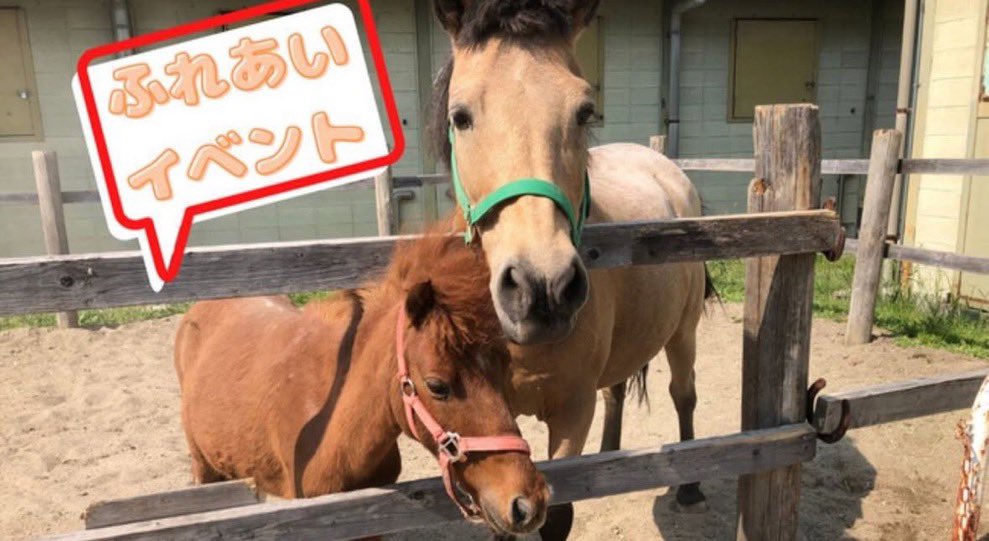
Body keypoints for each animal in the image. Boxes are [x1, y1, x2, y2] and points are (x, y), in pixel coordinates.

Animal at [428, 1, 712, 538]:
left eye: (584, 111)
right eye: (461, 116)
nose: (542, 289)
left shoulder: (570, 413)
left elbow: (557, 516)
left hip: (684, 331)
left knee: (683, 395)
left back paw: (690, 487)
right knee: (618, 390)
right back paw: (610, 454)